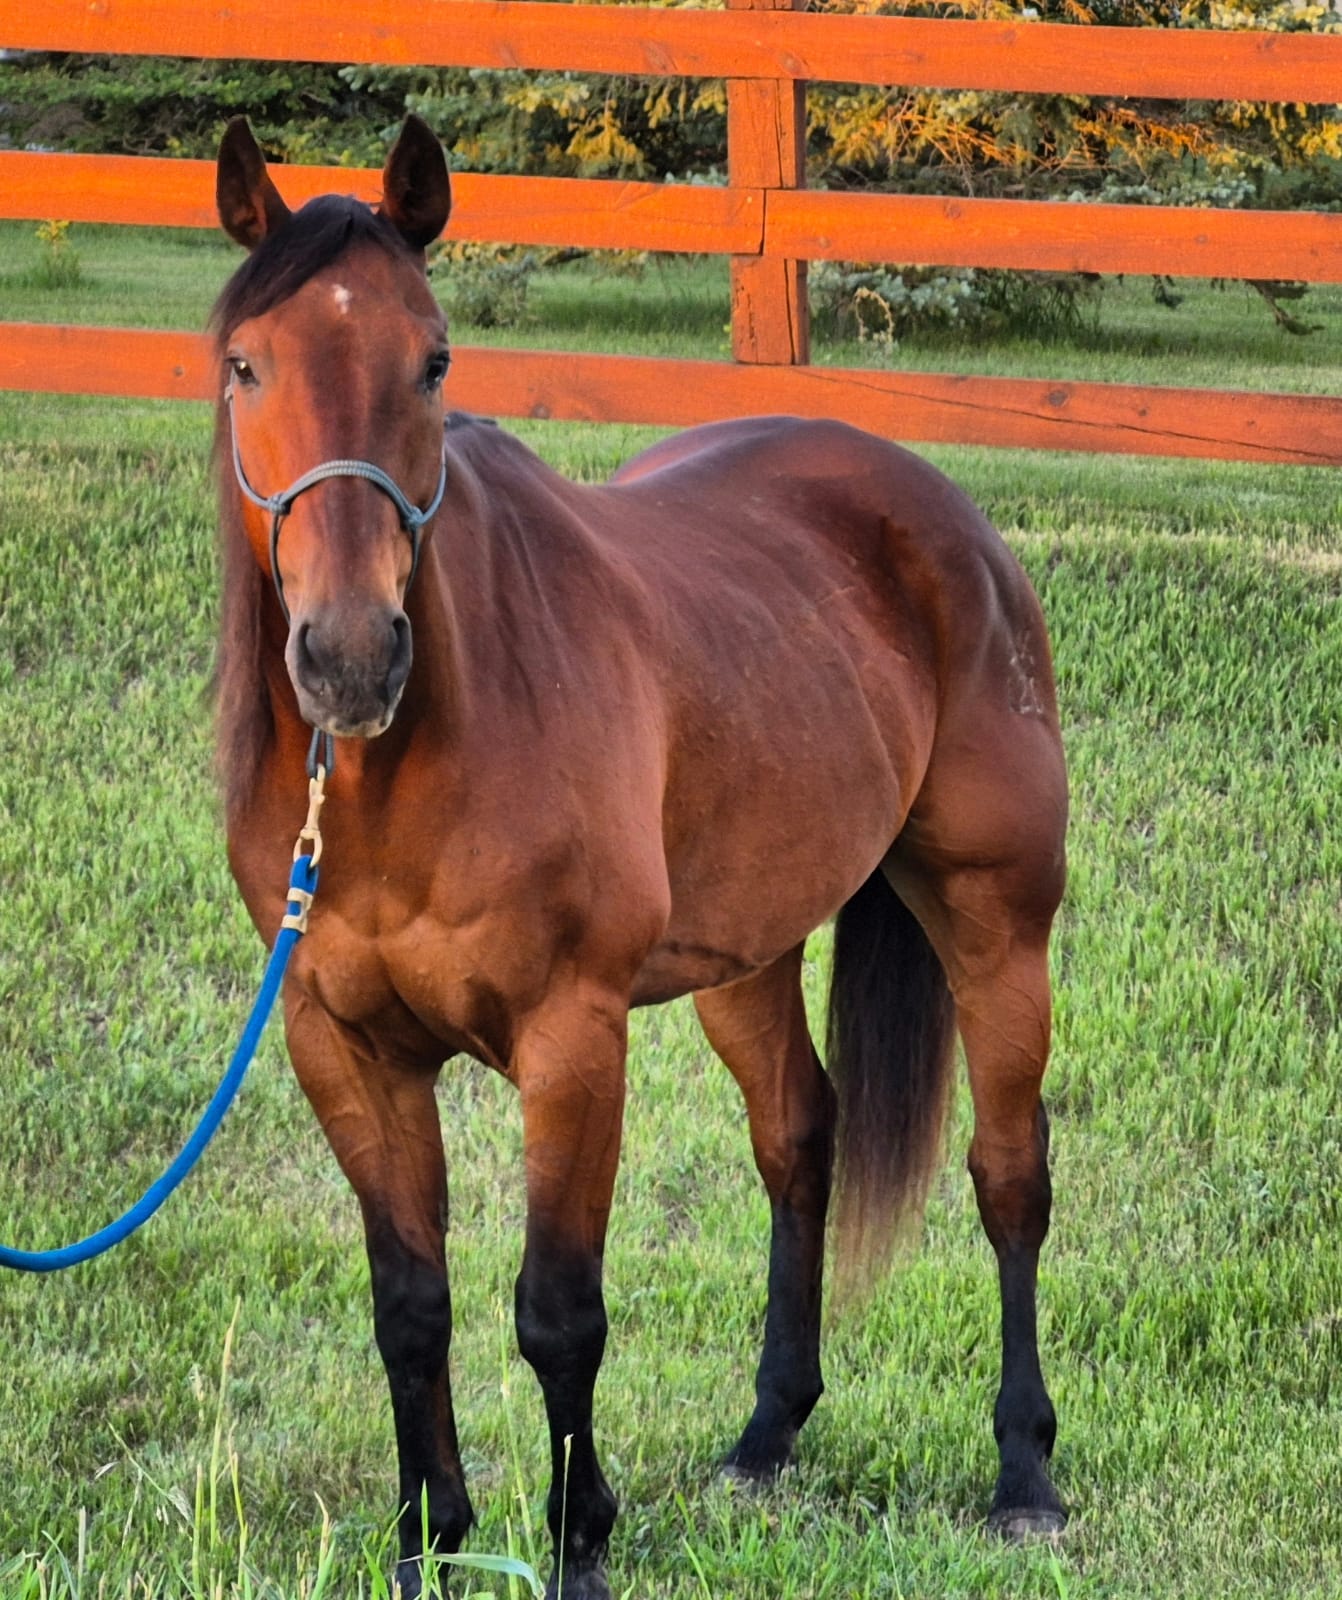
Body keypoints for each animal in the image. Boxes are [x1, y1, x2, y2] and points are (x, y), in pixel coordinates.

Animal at [211, 114, 1069, 1600]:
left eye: (432, 360)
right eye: (245, 363)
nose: (350, 657)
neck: (397, 776)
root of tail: (933, 509)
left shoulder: (571, 1038)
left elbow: (557, 1312)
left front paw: (577, 1543)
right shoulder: (341, 1046)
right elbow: (410, 1304)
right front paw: (427, 1539)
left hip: (995, 925)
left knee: (1008, 1177)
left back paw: (1022, 1474)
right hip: (745, 956)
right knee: (798, 1139)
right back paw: (765, 1439)